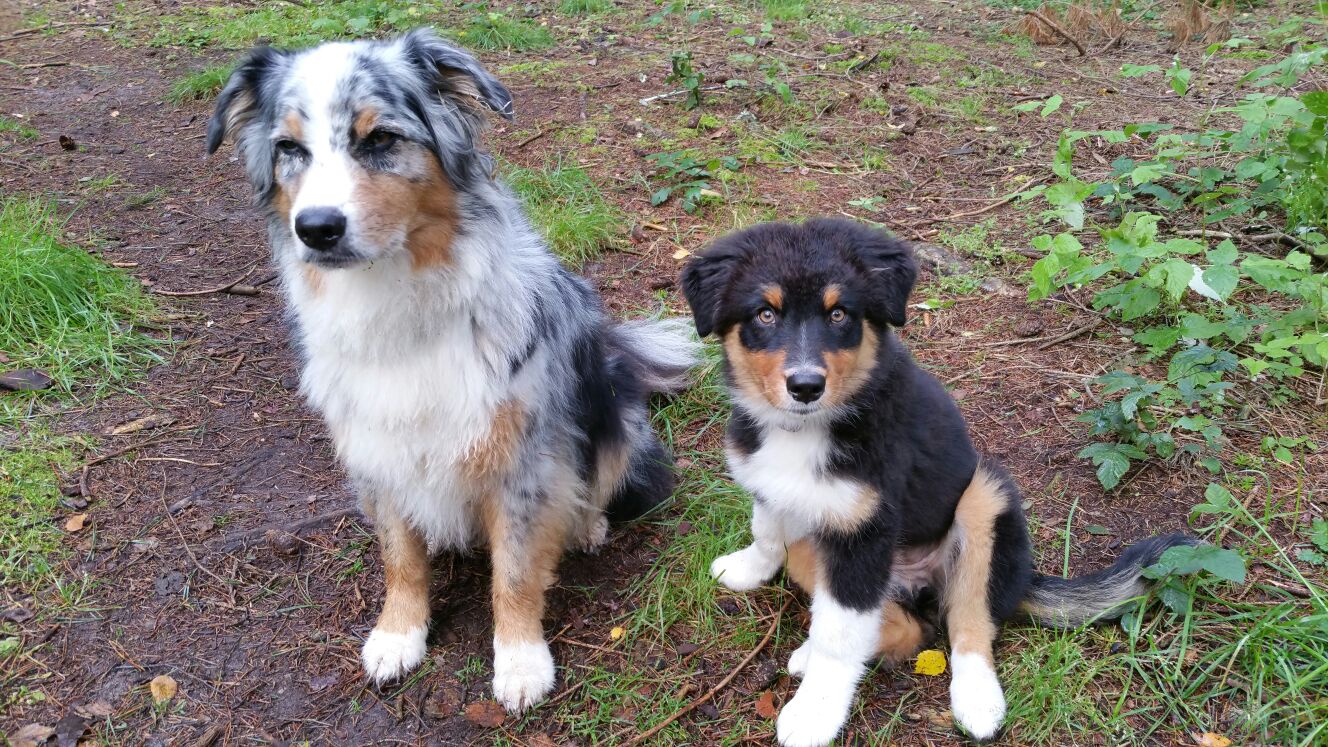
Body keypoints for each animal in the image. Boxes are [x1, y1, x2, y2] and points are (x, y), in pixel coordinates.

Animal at [206, 30, 696, 712]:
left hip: (613, 412)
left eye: (381, 138)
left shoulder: (521, 458)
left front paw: (520, 662)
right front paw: (398, 634)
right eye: (289, 149)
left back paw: (587, 524)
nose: (317, 229)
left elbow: (515, 571)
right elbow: (399, 557)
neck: (393, 300)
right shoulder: (377, 448)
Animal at [680, 217, 1194, 746]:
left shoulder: (865, 533)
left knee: (963, 621)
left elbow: (839, 636)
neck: (806, 429)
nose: (806, 386)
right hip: (821, 550)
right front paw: (746, 568)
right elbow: (767, 531)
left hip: (985, 497)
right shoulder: (781, 493)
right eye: (764, 314)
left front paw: (814, 714)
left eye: (839, 313)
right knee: (905, 624)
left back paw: (977, 701)